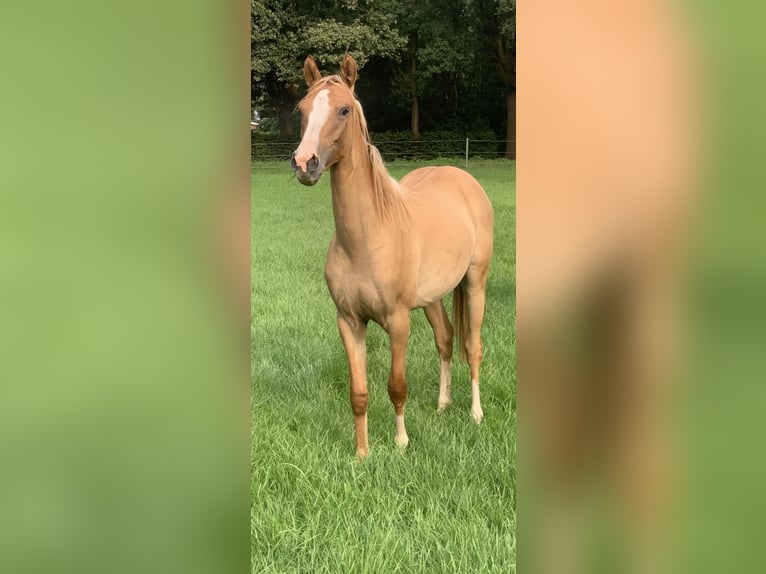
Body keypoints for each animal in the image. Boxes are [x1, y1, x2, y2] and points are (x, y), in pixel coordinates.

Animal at [292, 54, 496, 460]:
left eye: (343, 109)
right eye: (302, 109)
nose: (305, 163)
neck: (367, 239)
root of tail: (464, 180)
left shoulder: (399, 322)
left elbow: (397, 385)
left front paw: (401, 442)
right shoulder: (349, 322)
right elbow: (359, 393)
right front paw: (361, 452)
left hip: (475, 282)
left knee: (472, 346)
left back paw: (476, 413)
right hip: (432, 298)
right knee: (445, 338)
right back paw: (442, 405)